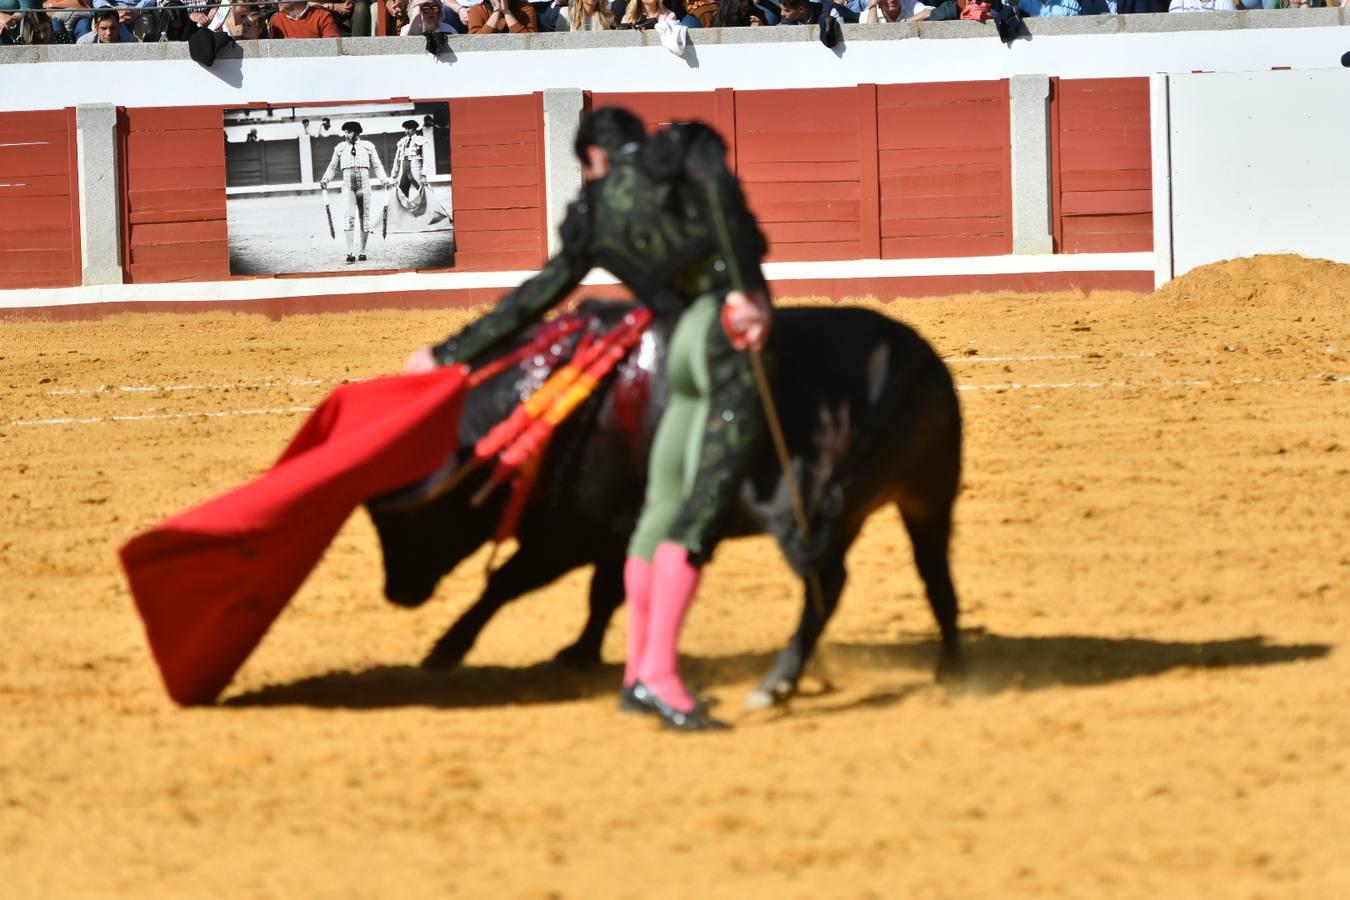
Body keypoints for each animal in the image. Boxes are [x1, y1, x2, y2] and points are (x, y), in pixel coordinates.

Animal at [369, 299, 961, 707]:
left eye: (416, 517)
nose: (397, 593)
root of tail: (910, 361)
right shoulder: (615, 531)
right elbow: (605, 593)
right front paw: (580, 653)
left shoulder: (569, 534)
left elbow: (506, 584)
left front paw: (446, 649)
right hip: (927, 501)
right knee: (936, 577)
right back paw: (949, 671)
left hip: (808, 512)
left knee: (830, 584)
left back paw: (777, 683)